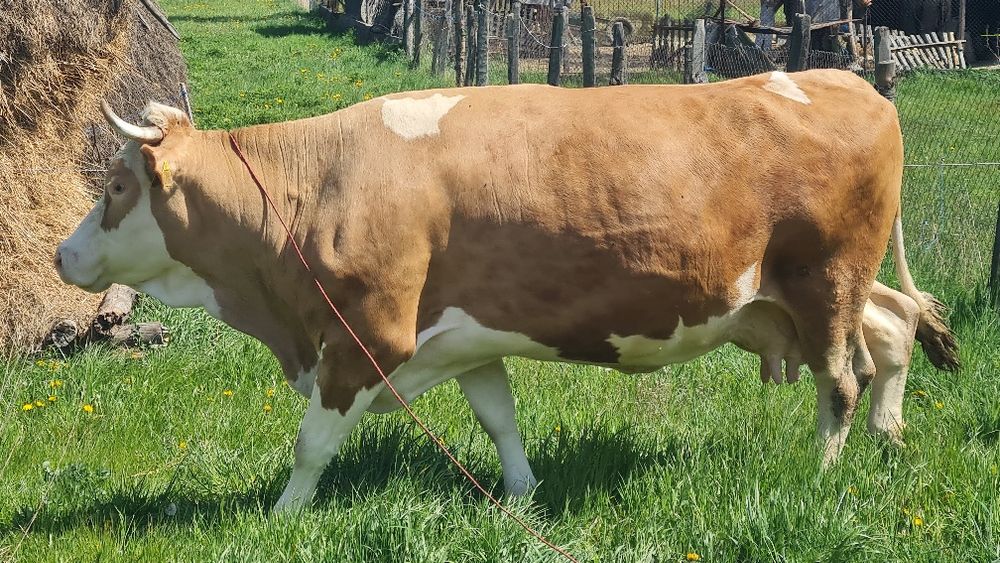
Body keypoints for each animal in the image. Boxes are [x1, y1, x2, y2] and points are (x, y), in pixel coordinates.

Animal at [56, 69, 958, 512]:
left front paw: (280, 516)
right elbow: (500, 419)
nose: (63, 255)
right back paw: (890, 433)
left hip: (825, 281)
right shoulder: (463, 338)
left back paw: (825, 467)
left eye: (115, 186)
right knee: (895, 325)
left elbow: (312, 444)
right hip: (805, 293)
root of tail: (846, 77)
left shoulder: (366, 337)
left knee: (842, 378)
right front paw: (521, 496)